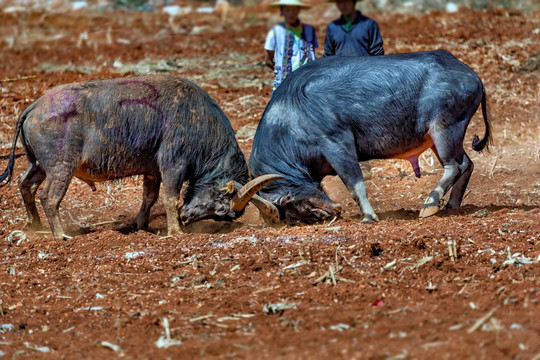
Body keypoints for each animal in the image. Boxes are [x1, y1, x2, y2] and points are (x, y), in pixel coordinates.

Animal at [0, 74, 278, 239]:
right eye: (221, 209)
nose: (187, 217)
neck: (198, 121)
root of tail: (35, 106)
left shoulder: (152, 170)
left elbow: (149, 197)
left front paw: (141, 225)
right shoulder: (172, 166)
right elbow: (169, 198)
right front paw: (175, 231)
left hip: (38, 165)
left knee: (25, 185)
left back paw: (35, 226)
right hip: (61, 167)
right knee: (49, 197)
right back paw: (60, 235)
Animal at [251, 50, 492, 225]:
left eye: (290, 209)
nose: (330, 212)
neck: (290, 115)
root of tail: (473, 77)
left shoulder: (337, 143)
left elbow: (355, 186)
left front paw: (368, 217)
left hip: (444, 129)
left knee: (454, 166)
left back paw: (429, 205)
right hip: (440, 137)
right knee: (466, 164)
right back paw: (451, 204)